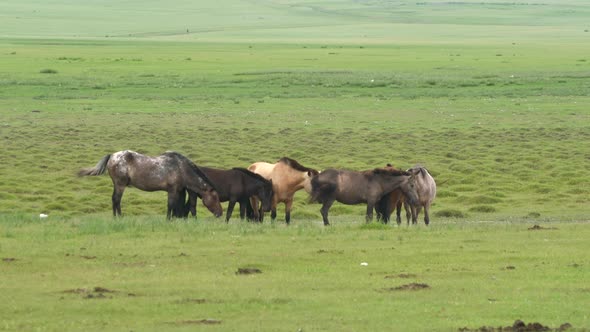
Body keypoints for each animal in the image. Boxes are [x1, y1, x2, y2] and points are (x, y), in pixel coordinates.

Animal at [78, 151, 224, 219]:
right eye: (215, 197)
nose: (220, 213)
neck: (181, 168)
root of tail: (112, 156)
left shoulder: (179, 190)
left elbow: (178, 206)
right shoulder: (172, 190)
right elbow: (171, 205)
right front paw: (168, 220)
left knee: (114, 200)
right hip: (120, 184)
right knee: (116, 200)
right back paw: (118, 217)